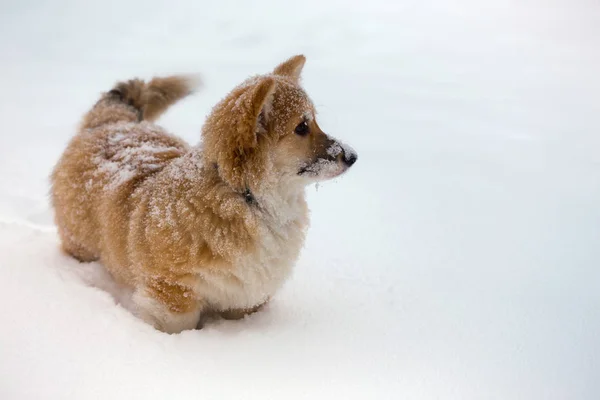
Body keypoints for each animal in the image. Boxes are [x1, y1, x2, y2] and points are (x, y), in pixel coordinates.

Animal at [50, 54, 356, 332]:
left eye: (315, 122)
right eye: (301, 127)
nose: (353, 156)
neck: (245, 197)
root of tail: (112, 123)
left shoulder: (245, 297)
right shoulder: (172, 292)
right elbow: (178, 323)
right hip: (82, 245)